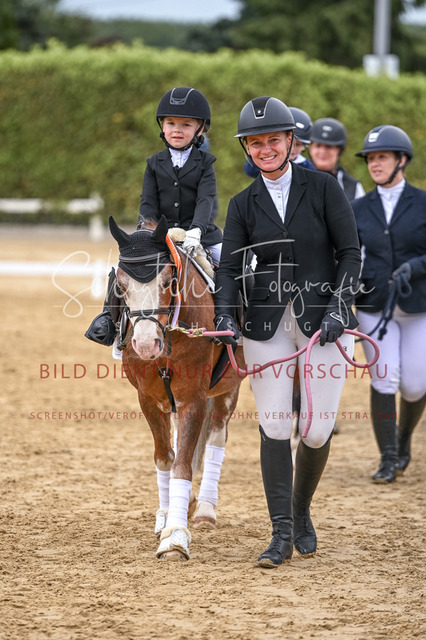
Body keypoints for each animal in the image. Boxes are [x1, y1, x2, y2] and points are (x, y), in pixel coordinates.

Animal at [108, 215, 245, 561]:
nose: (145, 344)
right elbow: (165, 458)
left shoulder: (192, 398)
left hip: (228, 387)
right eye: (121, 287)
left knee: (216, 436)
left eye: (169, 281)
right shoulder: (148, 398)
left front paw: (175, 537)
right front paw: (168, 515)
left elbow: (182, 464)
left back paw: (205, 509)